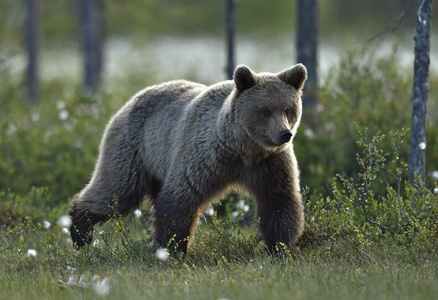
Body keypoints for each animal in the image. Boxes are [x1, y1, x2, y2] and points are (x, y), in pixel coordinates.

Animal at [69, 63, 308, 253]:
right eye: (266, 110)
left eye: (288, 109)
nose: (285, 134)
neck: (242, 148)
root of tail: (128, 101)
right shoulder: (205, 155)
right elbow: (180, 198)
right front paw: (171, 248)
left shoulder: (269, 163)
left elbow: (279, 200)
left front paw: (281, 246)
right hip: (133, 148)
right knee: (116, 191)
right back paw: (79, 231)